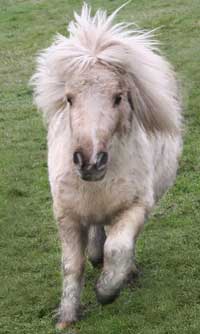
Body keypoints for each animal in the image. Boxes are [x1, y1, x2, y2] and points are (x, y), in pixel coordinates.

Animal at [30, 3, 182, 328]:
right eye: (69, 98)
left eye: (118, 97)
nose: (89, 161)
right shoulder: (67, 215)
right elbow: (72, 265)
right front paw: (66, 317)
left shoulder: (135, 207)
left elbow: (119, 247)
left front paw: (106, 291)